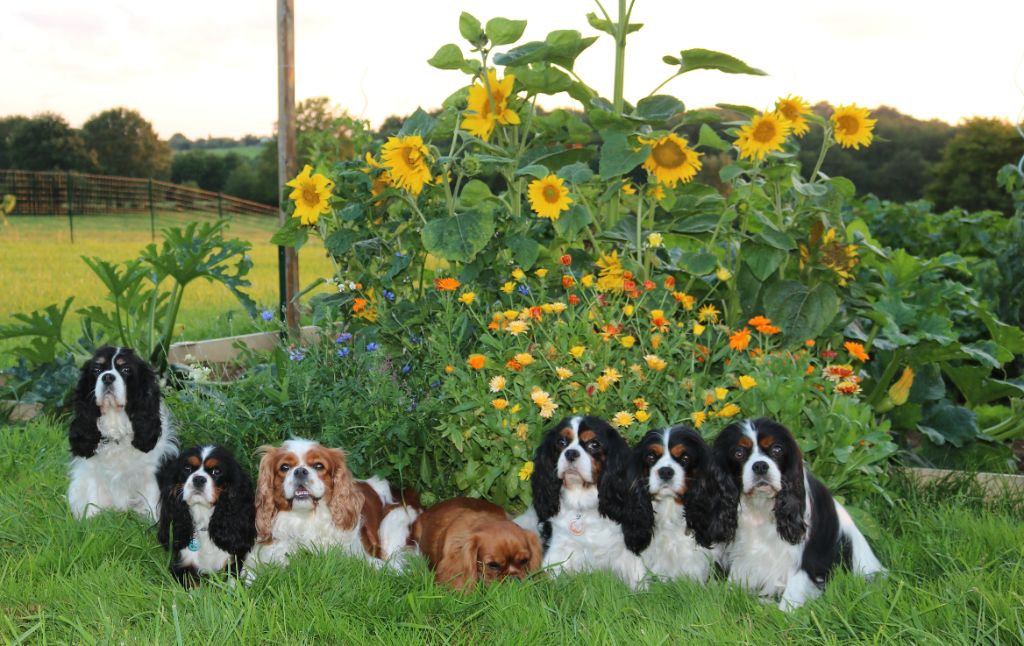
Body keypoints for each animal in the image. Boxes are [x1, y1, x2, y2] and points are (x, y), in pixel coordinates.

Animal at [67, 348, 177, 520]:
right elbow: (93, 500)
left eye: (126, 370)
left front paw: (152, 520)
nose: (107, 377)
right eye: (96, 370)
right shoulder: (93, 471)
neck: (116, 423)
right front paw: (91, 520)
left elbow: (151, 499)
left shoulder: (150, 471)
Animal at [704, 419, 880, 610]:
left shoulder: (804, 558)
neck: (762, 504)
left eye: (777, 450)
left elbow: (793, 591)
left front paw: (783, 614)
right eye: (738, 453)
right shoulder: (744, 552)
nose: (760, 465)